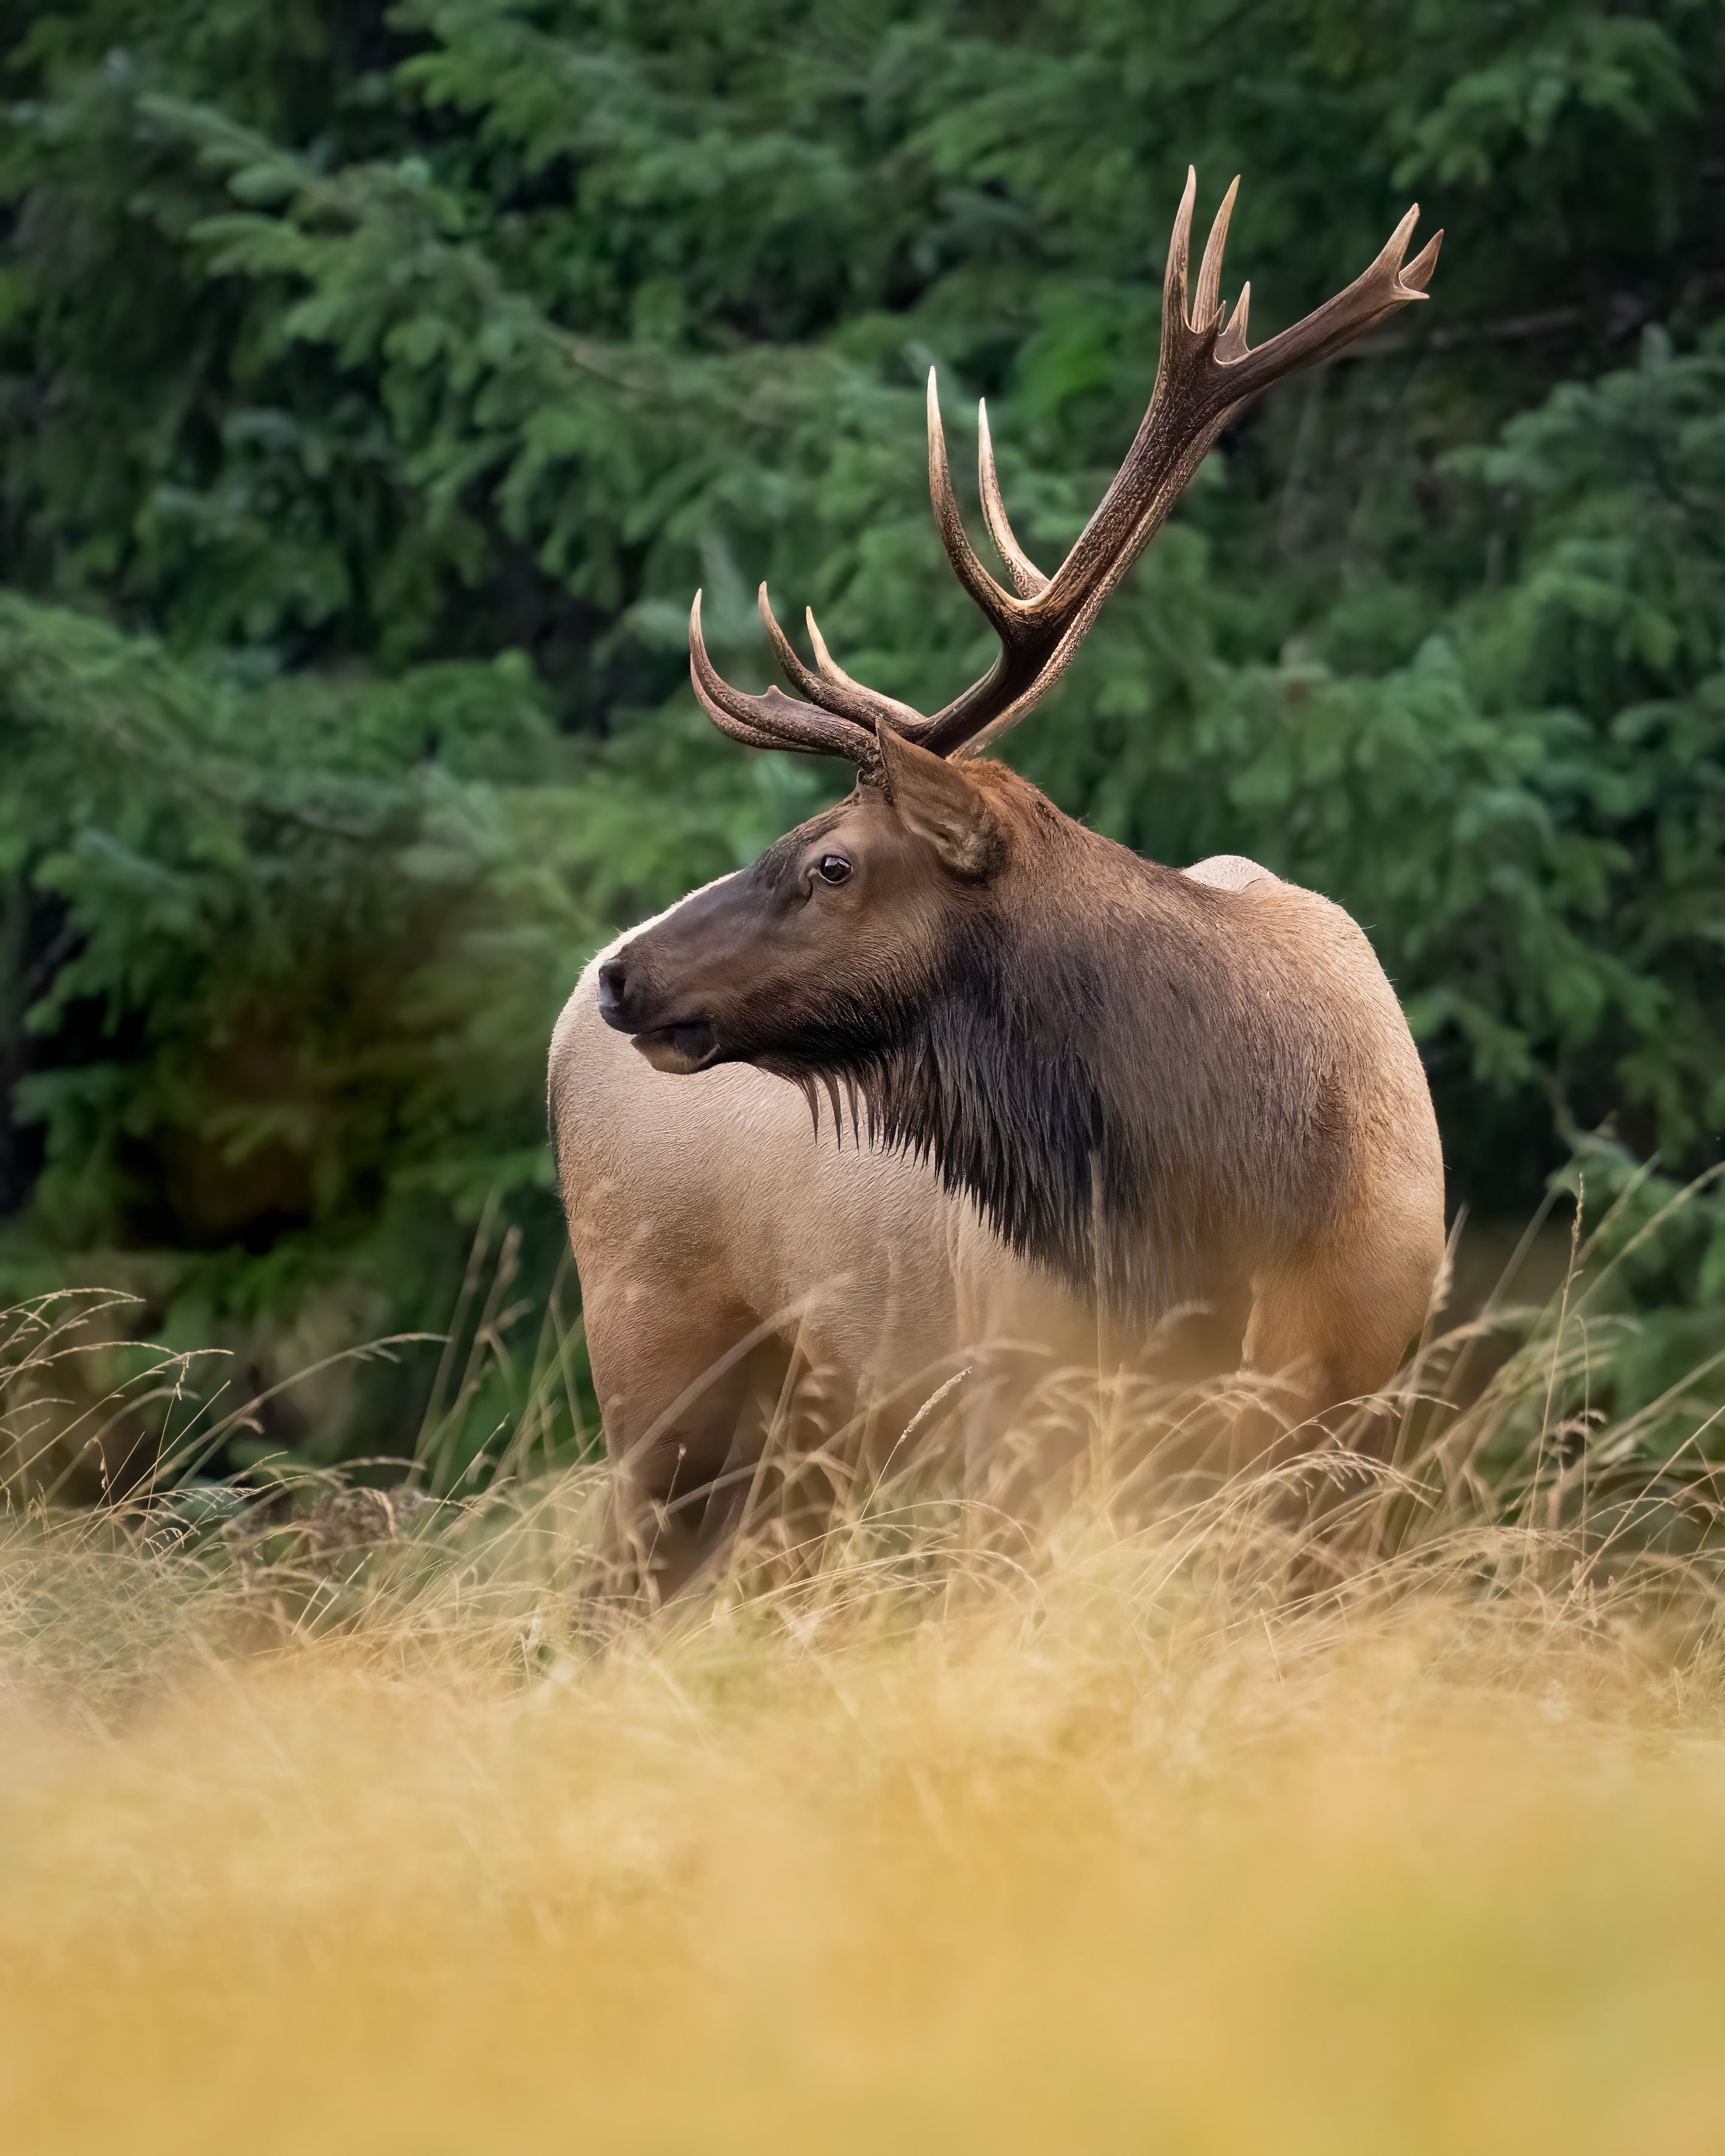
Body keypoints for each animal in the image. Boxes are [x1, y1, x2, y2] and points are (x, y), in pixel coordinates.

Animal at [552, 172, 1440, 1586]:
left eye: (832, 860)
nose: (623, 975)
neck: (1238, 1207)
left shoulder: (1362, 1408)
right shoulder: (1018, 1406)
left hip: (806, 1437)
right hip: (657, 1361)